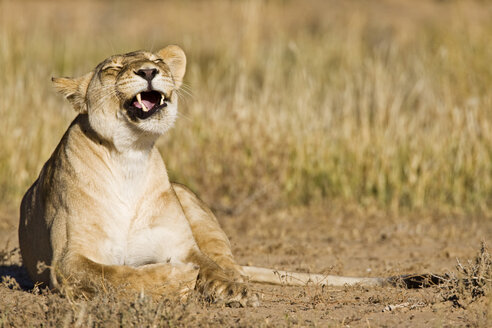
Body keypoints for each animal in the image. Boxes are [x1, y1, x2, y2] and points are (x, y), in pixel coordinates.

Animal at [18, 44, 434, 306]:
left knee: (230, 261)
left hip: (191, 200)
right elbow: (117, 276)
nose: (150, 71)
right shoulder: (68, 262)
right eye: (111, 69)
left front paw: (232, 290)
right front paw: (177, 280)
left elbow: (211, 267)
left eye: (157, 59)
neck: (130, 157)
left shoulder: (182, 245)